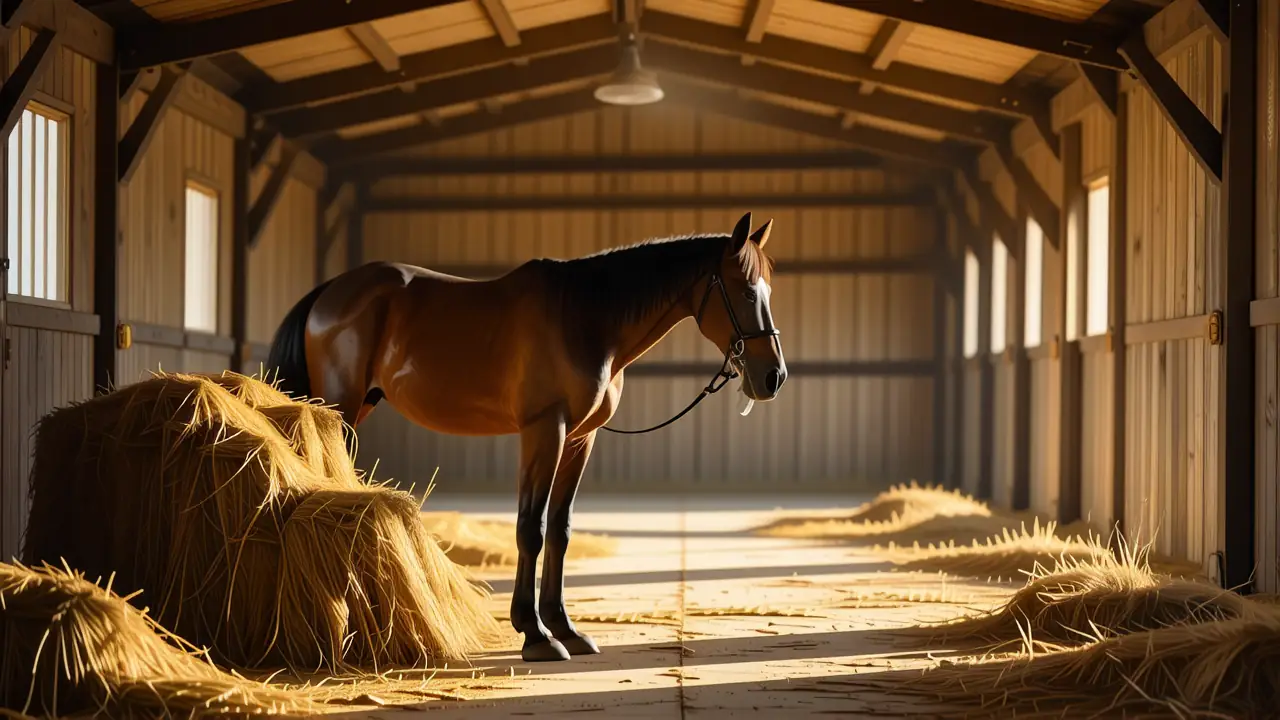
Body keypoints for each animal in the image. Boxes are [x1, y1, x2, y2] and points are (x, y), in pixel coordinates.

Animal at [265, 211, 788, 662]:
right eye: (745, 291)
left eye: (768, 290)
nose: (773, 377)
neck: (587, 318)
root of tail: (330, 292)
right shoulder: (543, 430)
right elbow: (530, 529)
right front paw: (534, 634)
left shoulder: (580, 440)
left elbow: (559, 528)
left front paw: (565, 628)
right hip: (339, 409)